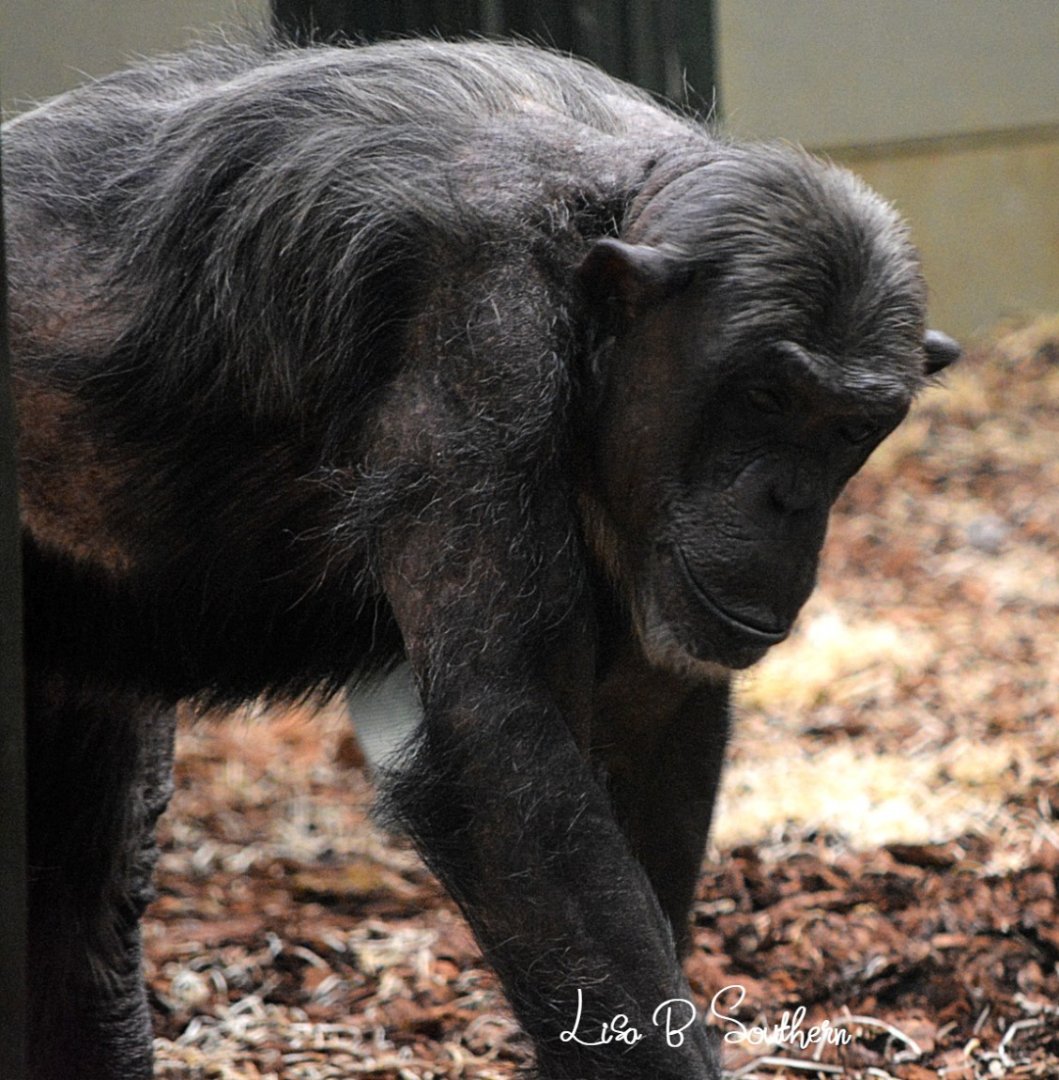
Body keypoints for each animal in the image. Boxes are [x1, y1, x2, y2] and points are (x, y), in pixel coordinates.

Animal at [3, 35, 960, 1080]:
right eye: (765, 397)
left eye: (851, 427)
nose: (788, 499)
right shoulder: (478, 346)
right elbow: (509, 761)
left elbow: (647, 720)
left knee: (80, 905)